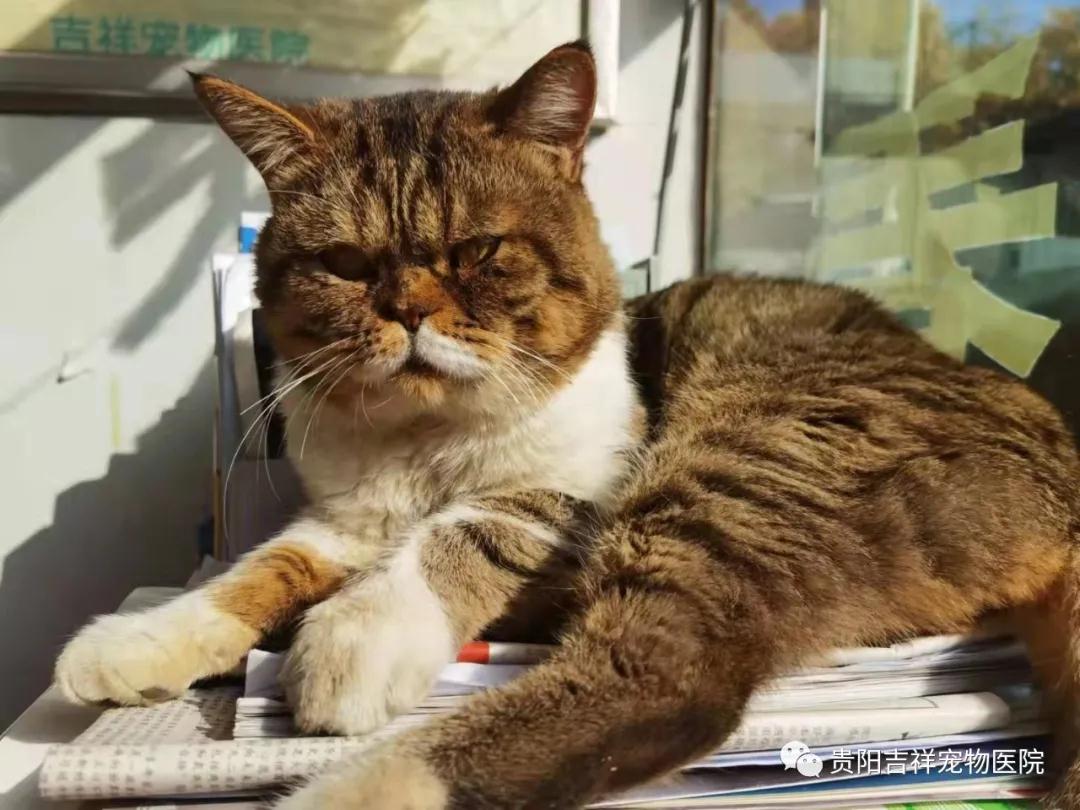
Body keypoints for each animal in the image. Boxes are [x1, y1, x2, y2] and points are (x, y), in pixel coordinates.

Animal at [54, 42, 1080, 810]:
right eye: (345, 264)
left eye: (479, 251)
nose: (409, 309)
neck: (427, 444)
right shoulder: (344, 520)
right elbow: (259, 568)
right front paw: (139, 640)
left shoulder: (577, 498)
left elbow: (462, 532)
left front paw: (358, 633)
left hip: (745, 461)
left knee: (666, 677)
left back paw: (346, 792)